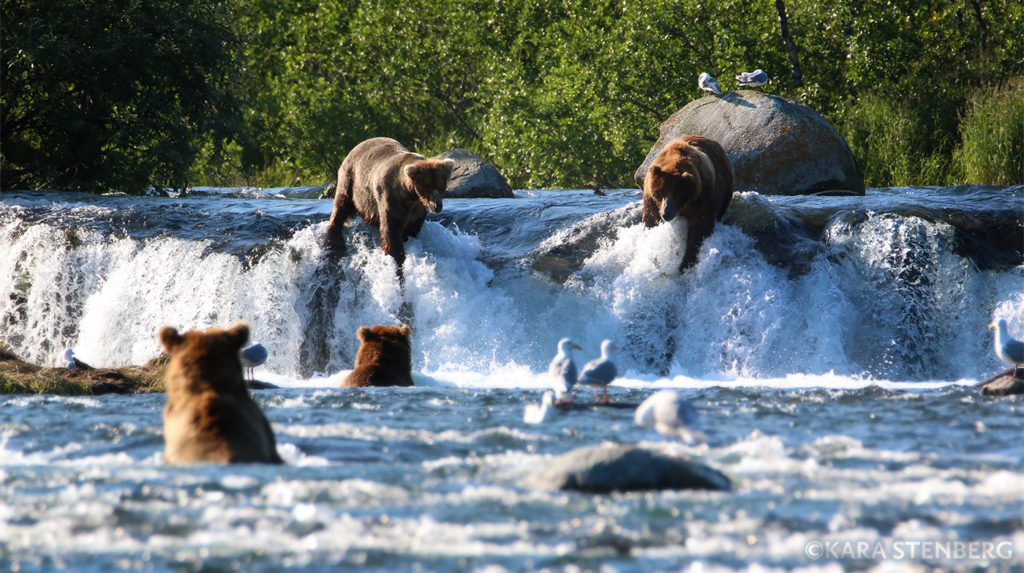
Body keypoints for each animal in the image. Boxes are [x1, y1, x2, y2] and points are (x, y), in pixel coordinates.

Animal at [327, 136, 456, 266]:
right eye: (428, 188)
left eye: (441, 187)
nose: (437, 206)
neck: (411, 195)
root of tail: (357, 146)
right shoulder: (392, 197)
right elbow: (391, 229)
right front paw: (397, 256)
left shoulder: (418, 208)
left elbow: (413, 227)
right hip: (351, 179)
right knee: (342, 204)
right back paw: (334, 236)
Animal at [638, 134, 737, 272]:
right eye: (661, 191)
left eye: (677, 193)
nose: (666, 213)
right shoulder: (651, 198)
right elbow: (651, 220)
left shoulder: (702, 197)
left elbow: (700, 227)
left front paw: (686, 263)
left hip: (724, 185)